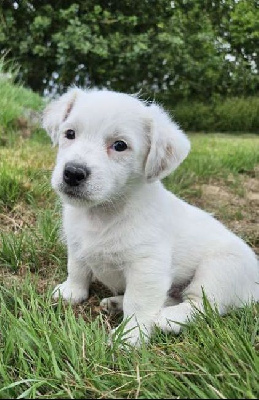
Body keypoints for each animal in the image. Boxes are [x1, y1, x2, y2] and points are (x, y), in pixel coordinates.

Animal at [43, 89, 259, 346]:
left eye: (120, 145)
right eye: (70, 134)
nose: (73, 173)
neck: (102, 214)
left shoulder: (146, 267)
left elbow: (138, 302)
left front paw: (129, 335)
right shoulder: (76, 245)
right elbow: (76, 268)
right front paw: (72, 291)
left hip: (220, 269)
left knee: (204, 304)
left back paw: (169, 319)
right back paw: (117, 303)